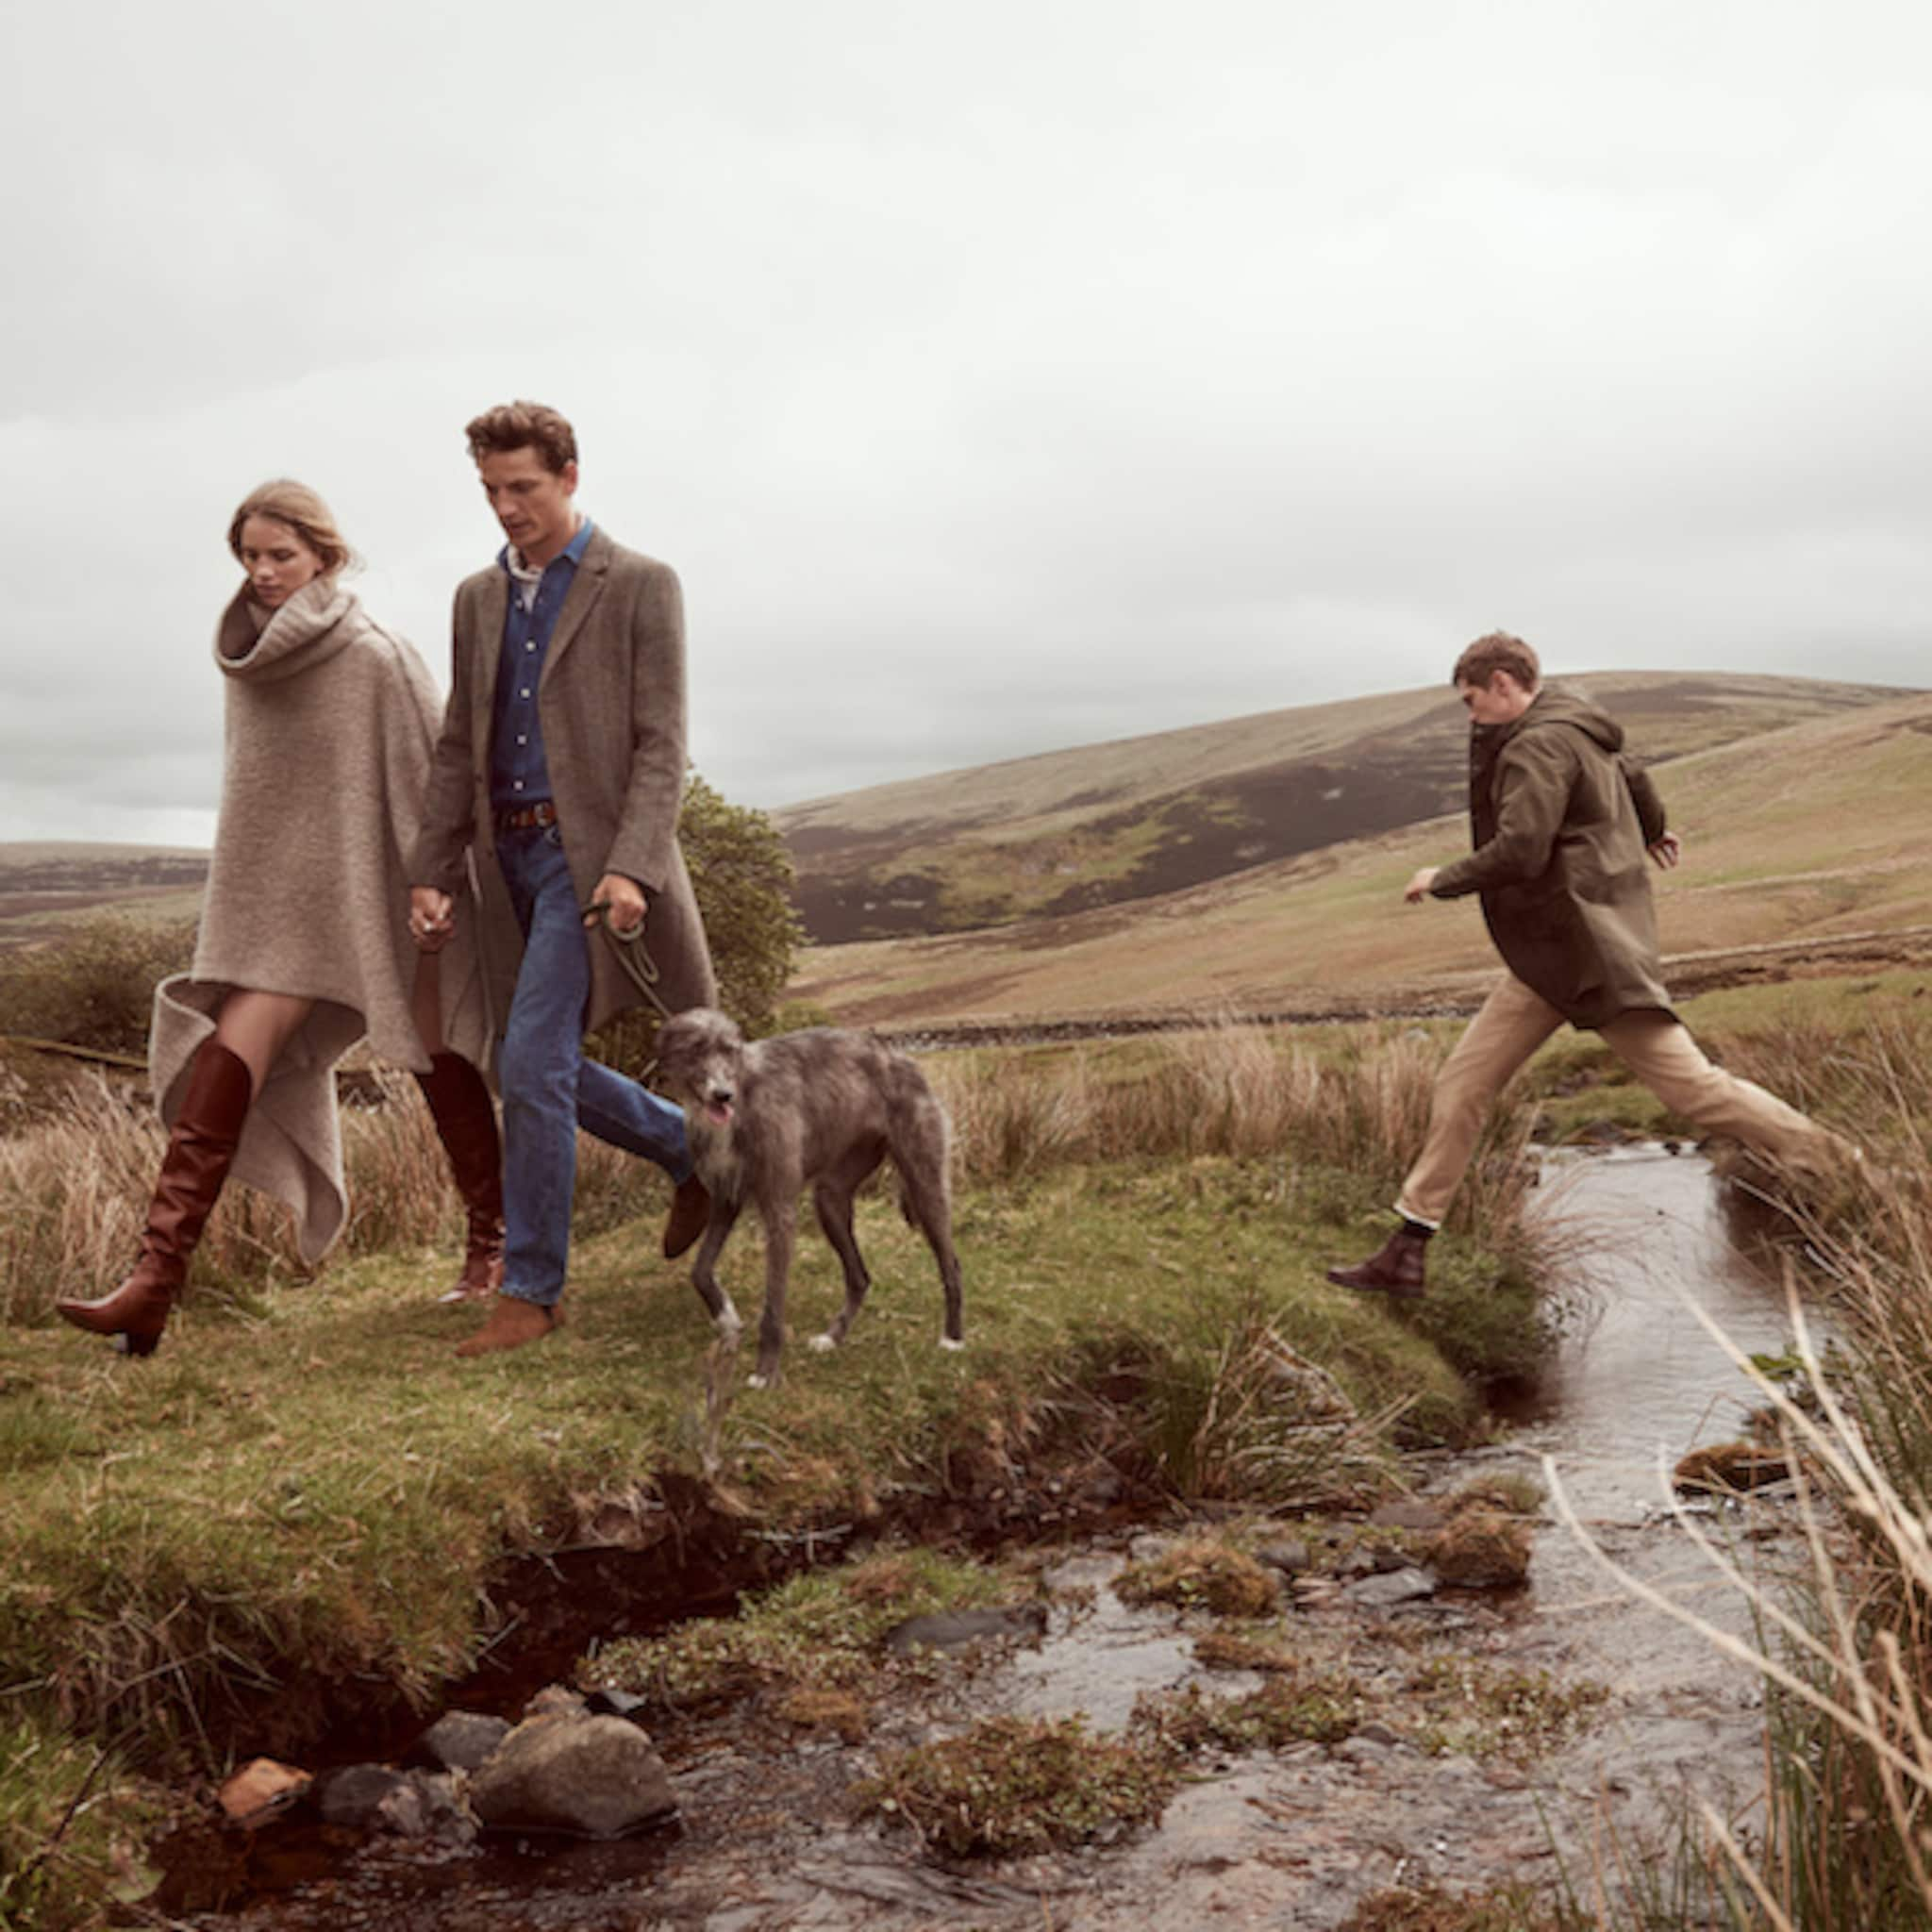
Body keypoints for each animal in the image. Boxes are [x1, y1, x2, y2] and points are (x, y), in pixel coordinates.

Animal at [649, 1012, 966, 1391]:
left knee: (951, 1264)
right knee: (859, 1277)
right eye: (695, 1050)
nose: (723, 1095)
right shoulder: (726, 1200)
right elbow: (699, 1270)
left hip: (924, 1183)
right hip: (830, 1197)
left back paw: (953, 1337)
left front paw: (765, 1372)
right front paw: (726, 1318)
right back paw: (832, 1337)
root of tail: (905, 1061)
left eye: (730, 1050)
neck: (745, 1096)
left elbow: (772, 1308)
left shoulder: (780, 1210)